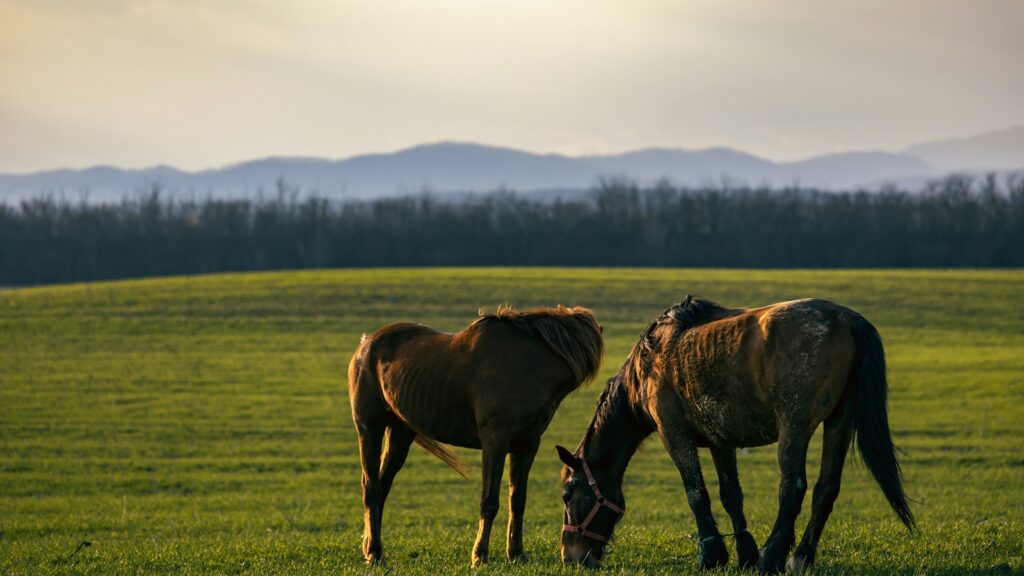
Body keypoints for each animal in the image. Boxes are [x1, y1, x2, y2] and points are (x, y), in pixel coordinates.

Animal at [348, 305, 603, 566]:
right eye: (571, 497)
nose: (580, 558)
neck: (526, 364)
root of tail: (366, 344)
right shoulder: (495, 441)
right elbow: (489, 501)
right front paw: (480, 555)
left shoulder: (527, 444)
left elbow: (517, 500)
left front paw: (516, 554)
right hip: (369, 428)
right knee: (371, 487)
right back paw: (374, 553)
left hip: (400, 432)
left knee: (382, 487)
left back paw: (372, 548)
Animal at [557, 296, 914, 573]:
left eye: (567, 494)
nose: (570, 557)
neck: (652, 358)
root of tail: (850, 321)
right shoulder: (721, 441)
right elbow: (731, 495)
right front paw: (744, 553)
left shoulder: (673, 433)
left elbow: (696, 493)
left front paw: (712, 555)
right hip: (839, 422)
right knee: (826, 489)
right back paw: (800, 557)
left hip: (795, 426)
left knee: (793, 487)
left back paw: (772, 557)